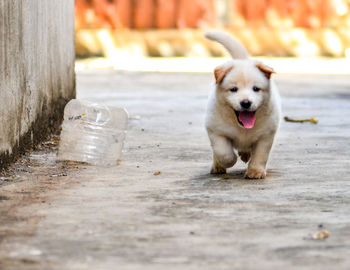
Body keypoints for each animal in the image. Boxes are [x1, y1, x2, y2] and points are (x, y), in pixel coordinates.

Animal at [205, 30, 282, 178]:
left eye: (256, 89)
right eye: (233, 89)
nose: (246, 103)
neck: (242, 128)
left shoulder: (266, 135)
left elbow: (260, 155)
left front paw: (255, 171)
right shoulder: (215, 131)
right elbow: (223, 152)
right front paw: (228, 161)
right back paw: (218, 166)